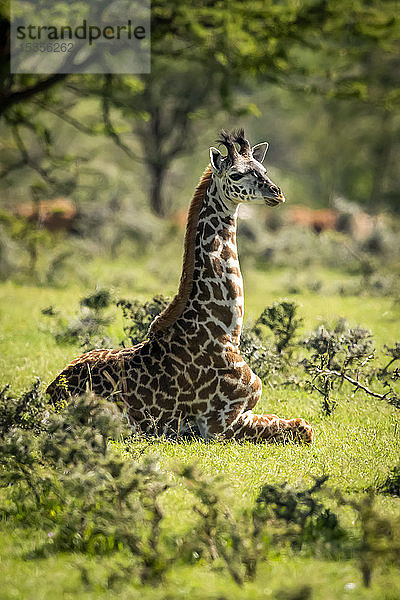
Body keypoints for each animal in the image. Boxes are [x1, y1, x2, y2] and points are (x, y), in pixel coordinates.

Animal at [47, 129, 312, 442]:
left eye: (263, 170)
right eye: (236, 174)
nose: (276, 192)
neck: (226, 332)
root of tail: (49, 394)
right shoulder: (220, 423)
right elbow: (303, 428)